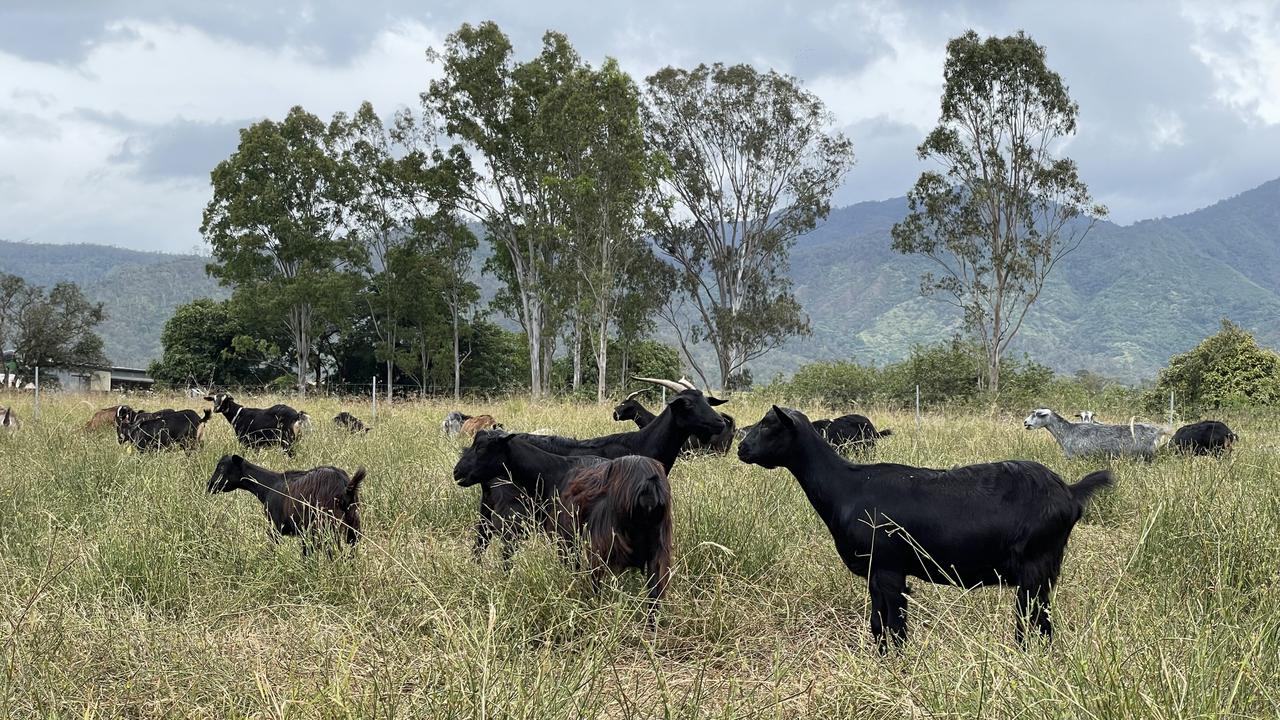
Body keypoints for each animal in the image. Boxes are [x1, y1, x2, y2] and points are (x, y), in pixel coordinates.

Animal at [204, 453, 363, 556]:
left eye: (222, 467)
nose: (209, 485)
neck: (268, 486)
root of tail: (345, 487)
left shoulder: (275, 526)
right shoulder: (304, 532)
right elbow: (306, 554)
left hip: (327, 527)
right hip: (352, 527)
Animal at [742, 404, 1111, 650]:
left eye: (770, 425)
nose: (742, 448)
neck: (846, 486)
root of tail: (1070, 491)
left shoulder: (888, 569)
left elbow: (893, 626)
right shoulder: (878, 574)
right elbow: (880, 625)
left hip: (1035, 566)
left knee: (1032, 621)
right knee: (1040, 621)